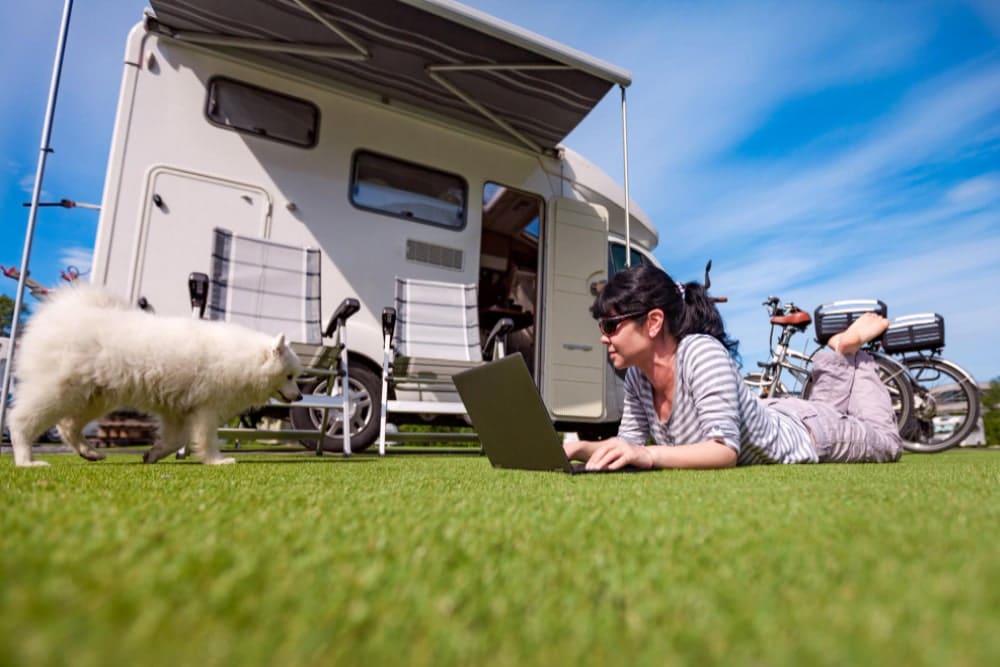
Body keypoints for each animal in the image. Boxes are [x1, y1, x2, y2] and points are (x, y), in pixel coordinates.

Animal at [7, 284, 302, 468]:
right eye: (289, 376)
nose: (300, 397)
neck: (244, 360)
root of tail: (62, 313)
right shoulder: (205, 408)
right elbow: (205, 439)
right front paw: (217, 461)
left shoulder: (179, 411)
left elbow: (175, 441)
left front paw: (153, 454)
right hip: (58, 391)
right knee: (20, 420)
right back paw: (27, 461)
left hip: (94, 398)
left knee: (67, 426)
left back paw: (89, 452)